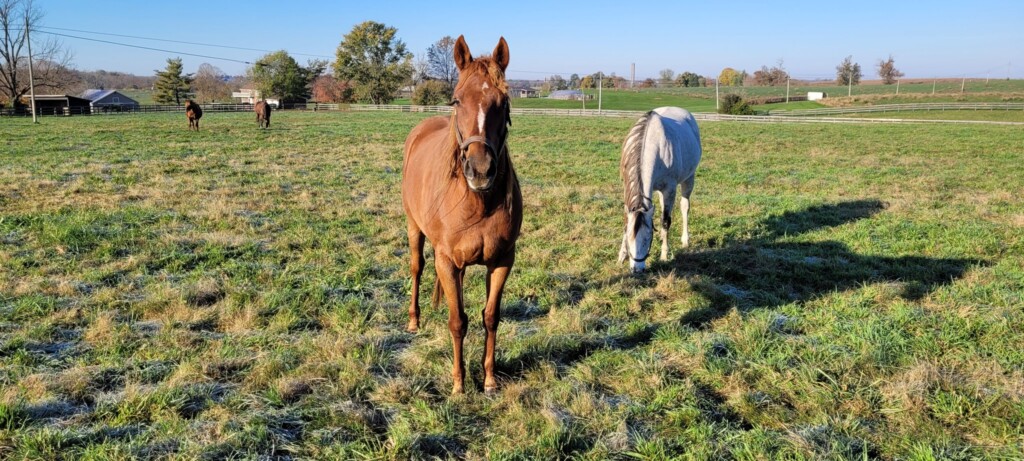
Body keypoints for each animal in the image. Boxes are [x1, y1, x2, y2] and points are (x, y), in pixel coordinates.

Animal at [401, 36, 524, 395]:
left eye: (504, 100)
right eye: (457, 100)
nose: (480, 170)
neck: (478, 202)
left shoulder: (502, 261)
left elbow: (490, 317)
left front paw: (489, 379)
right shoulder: (446, 260)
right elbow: (457, 321)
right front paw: (458, 383)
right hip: (414, 228)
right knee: (416, 267)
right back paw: (413, 320)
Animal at [618, 107, 700, 274]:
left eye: (647, 238)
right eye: (630, 238)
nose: (637, 270)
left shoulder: (670, 189)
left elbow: (665, 221)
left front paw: (664, 255)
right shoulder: (627, 187)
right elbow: (626, 220)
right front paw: (622, 255)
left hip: (689, 178)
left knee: (684, 207)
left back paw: (685, 239)